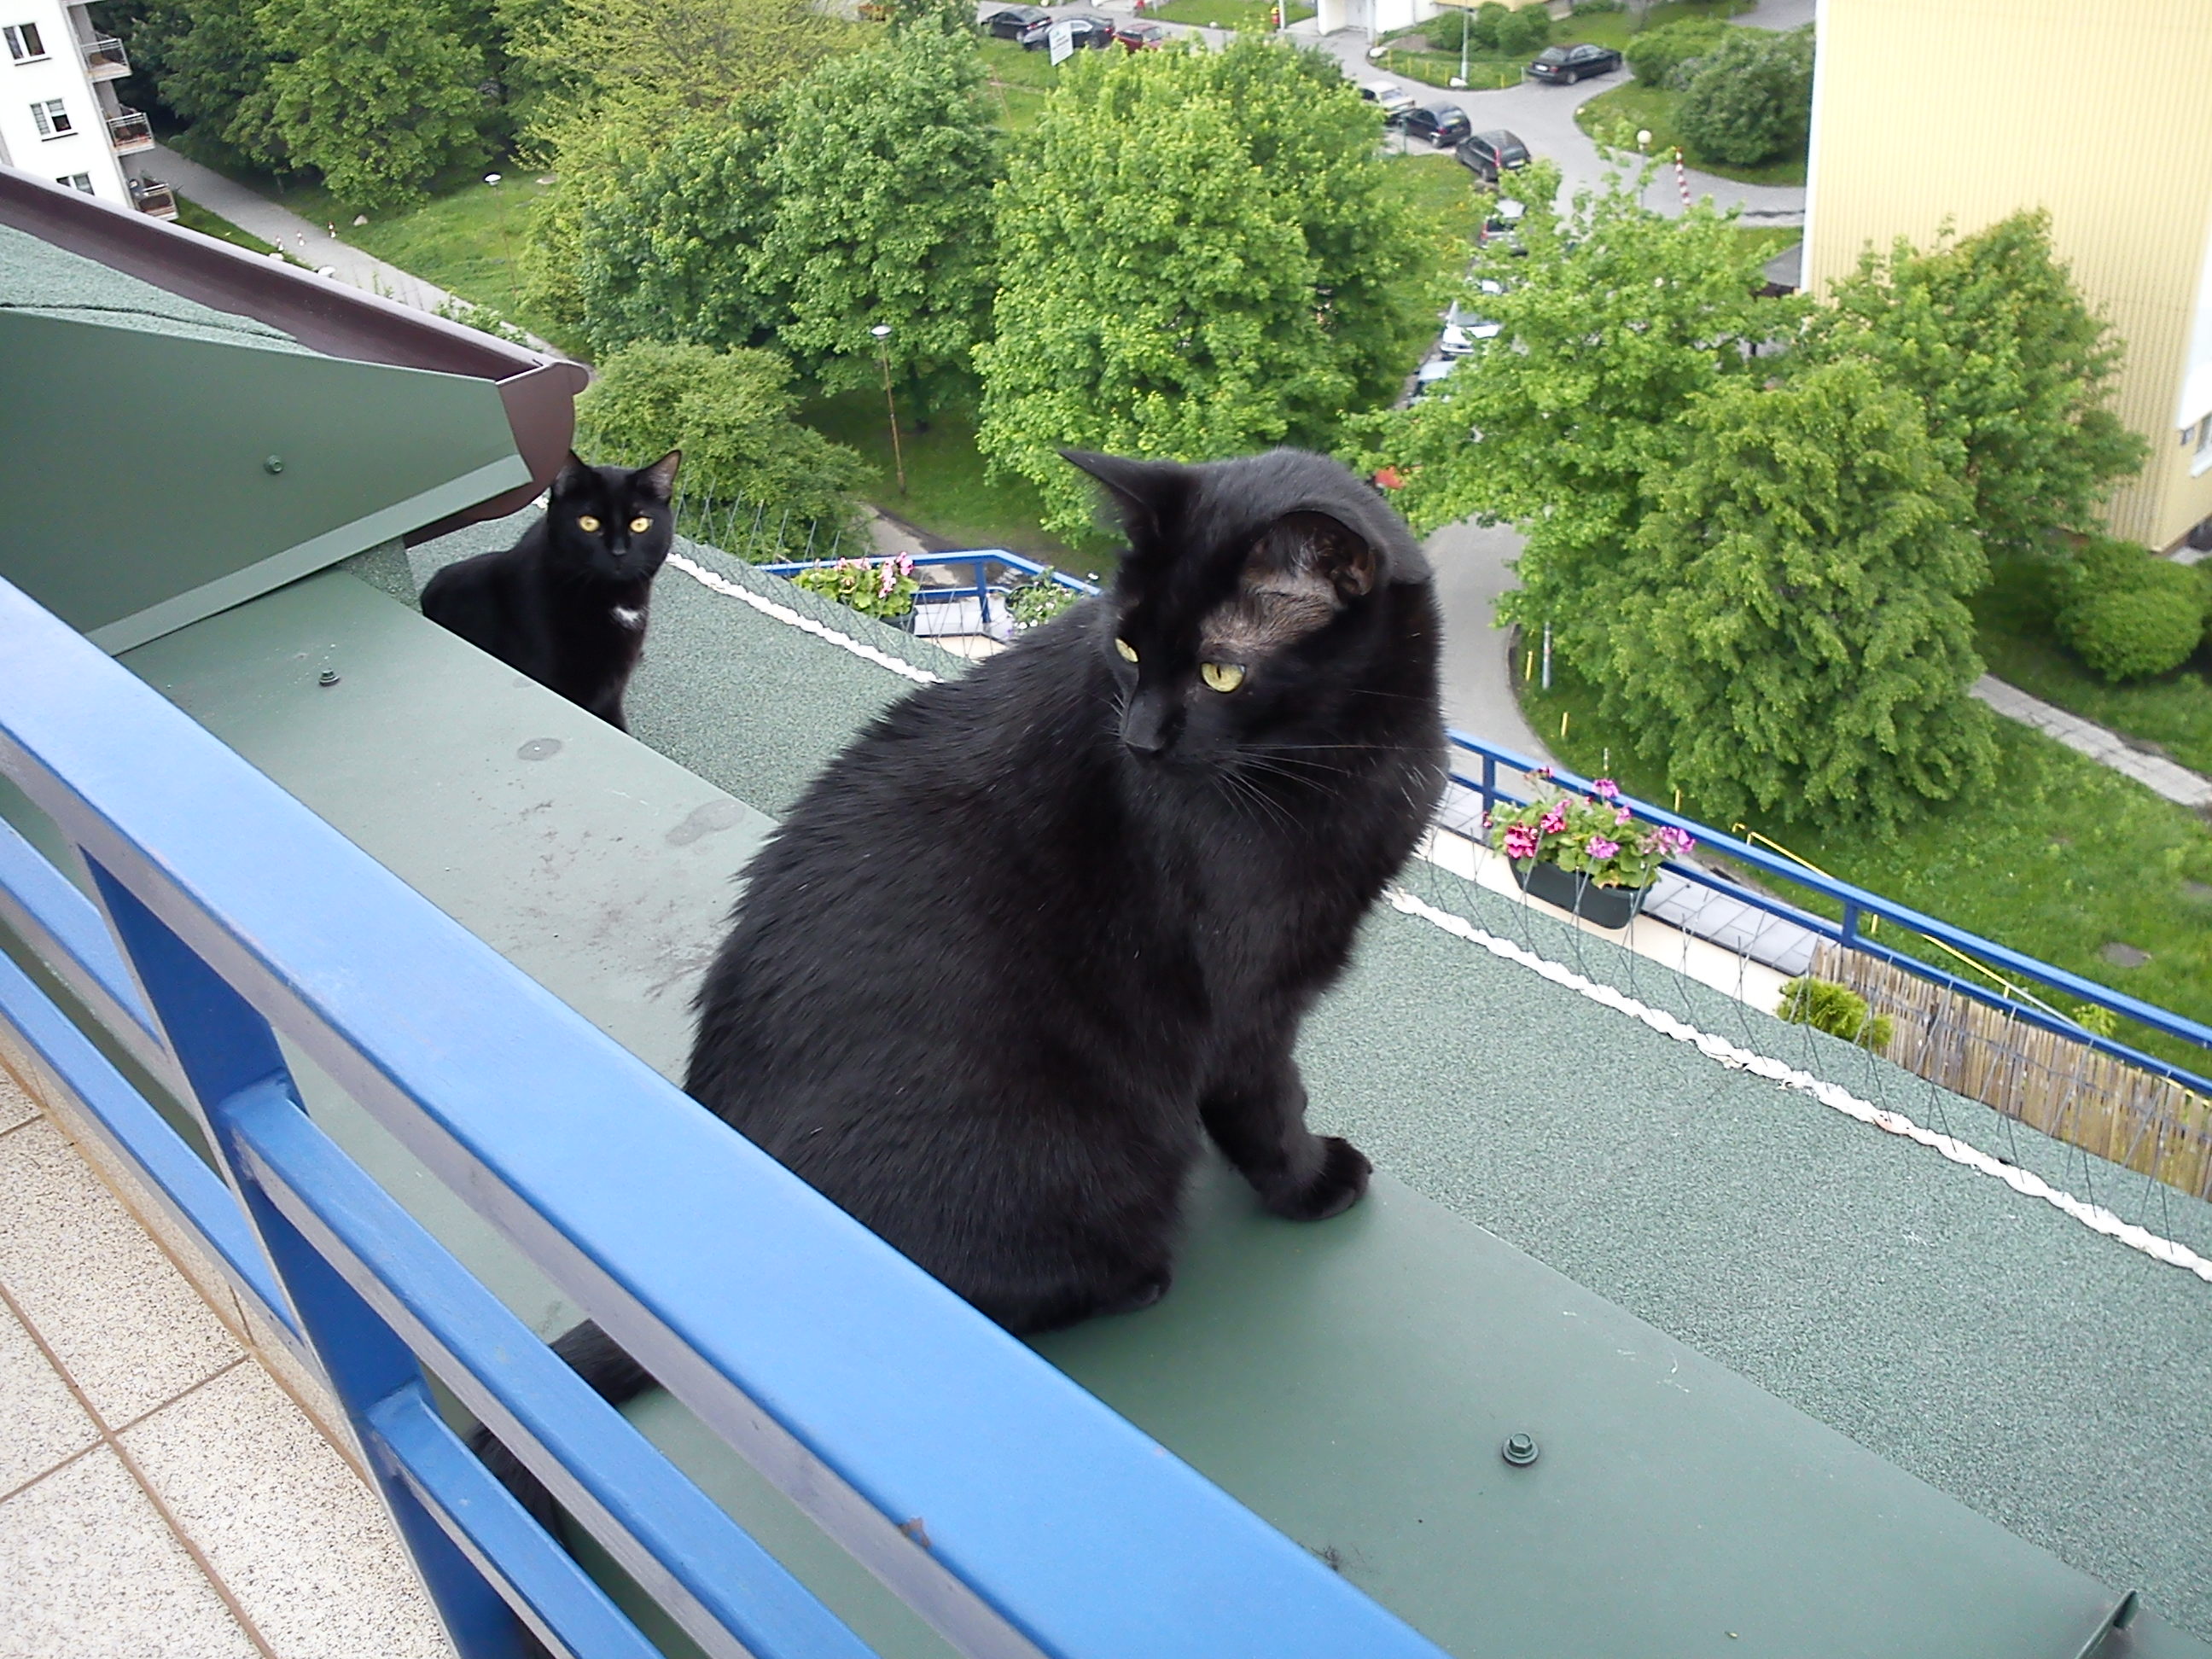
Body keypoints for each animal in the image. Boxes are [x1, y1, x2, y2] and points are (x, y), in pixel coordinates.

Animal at [474, 446, 1446, 1540]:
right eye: (1127, 643)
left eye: (1220, 671)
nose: (1140, 739)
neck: (1356, 755)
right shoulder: (1251, 997)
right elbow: (1270, 1106)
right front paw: (1312, 1184)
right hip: (1090, 1155)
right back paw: (1132, 1279)